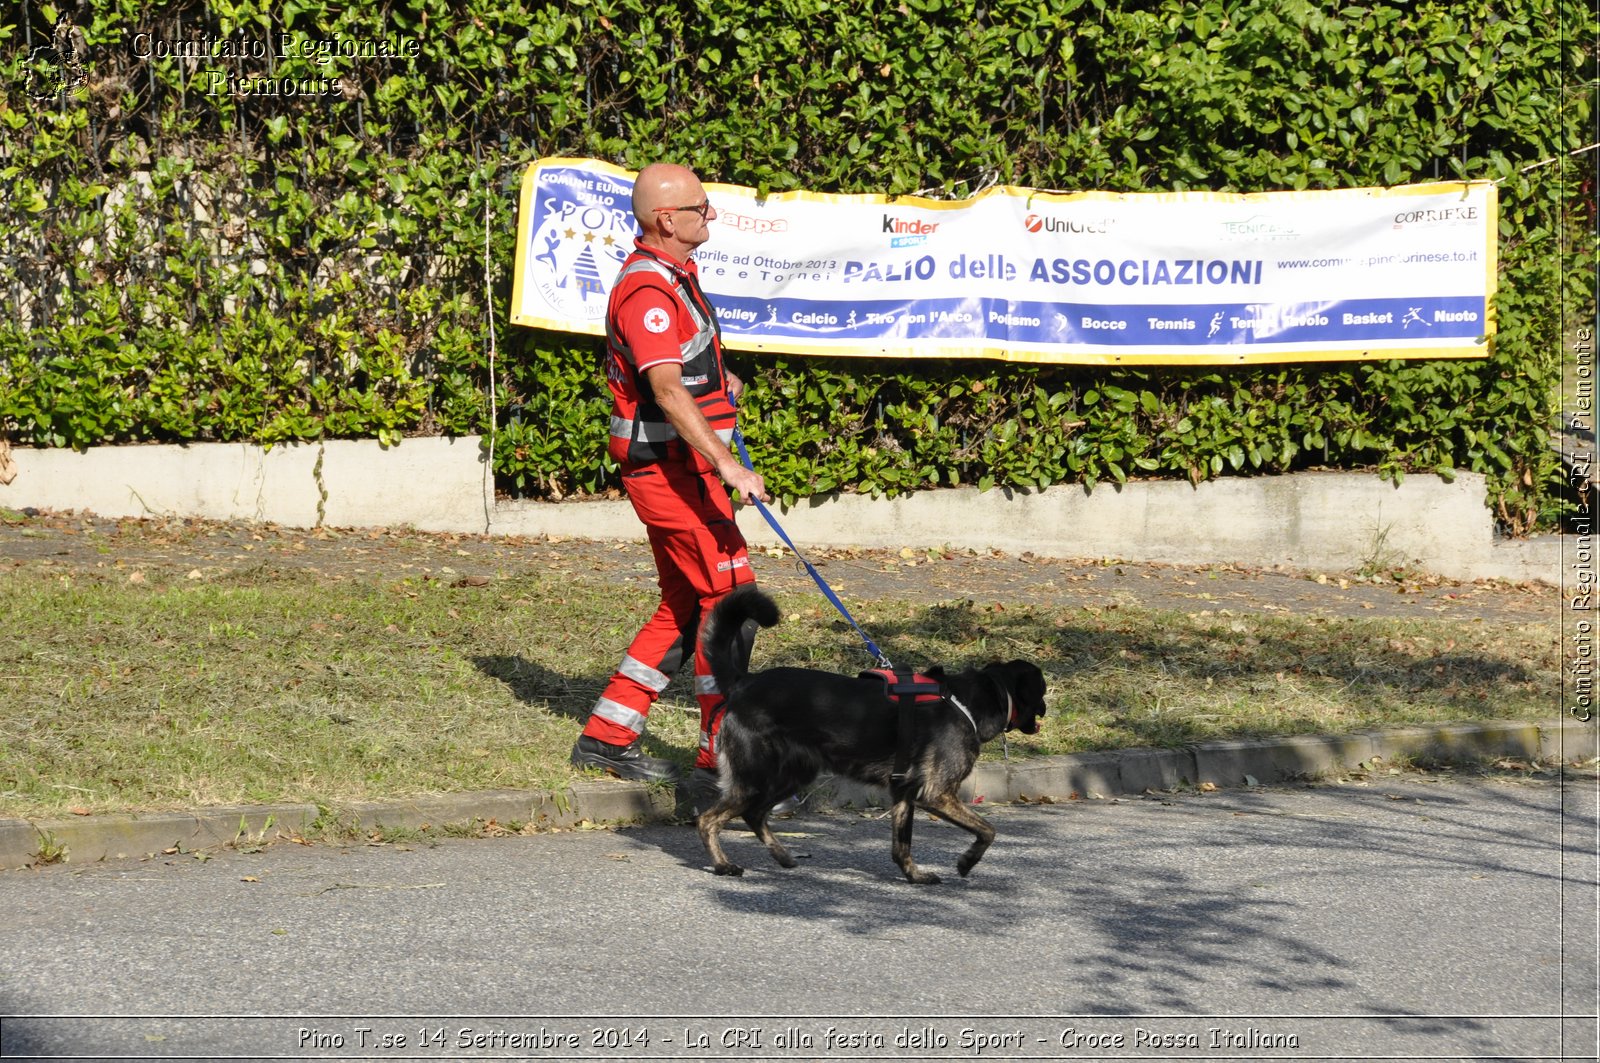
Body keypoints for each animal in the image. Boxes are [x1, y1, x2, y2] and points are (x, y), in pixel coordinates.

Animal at [694, 585, 1043, 883]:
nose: (1045, 710)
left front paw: (914, 876)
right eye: (1041, 691)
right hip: (758, 777)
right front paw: (967, 862)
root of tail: (743, 682)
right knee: (709, 819)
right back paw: (724, 865)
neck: (967, 701)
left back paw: (782, 856)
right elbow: (988, 829)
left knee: (754, 814)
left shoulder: (904, 794)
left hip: (791, 775)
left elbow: (902, 845)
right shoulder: (937, 794)